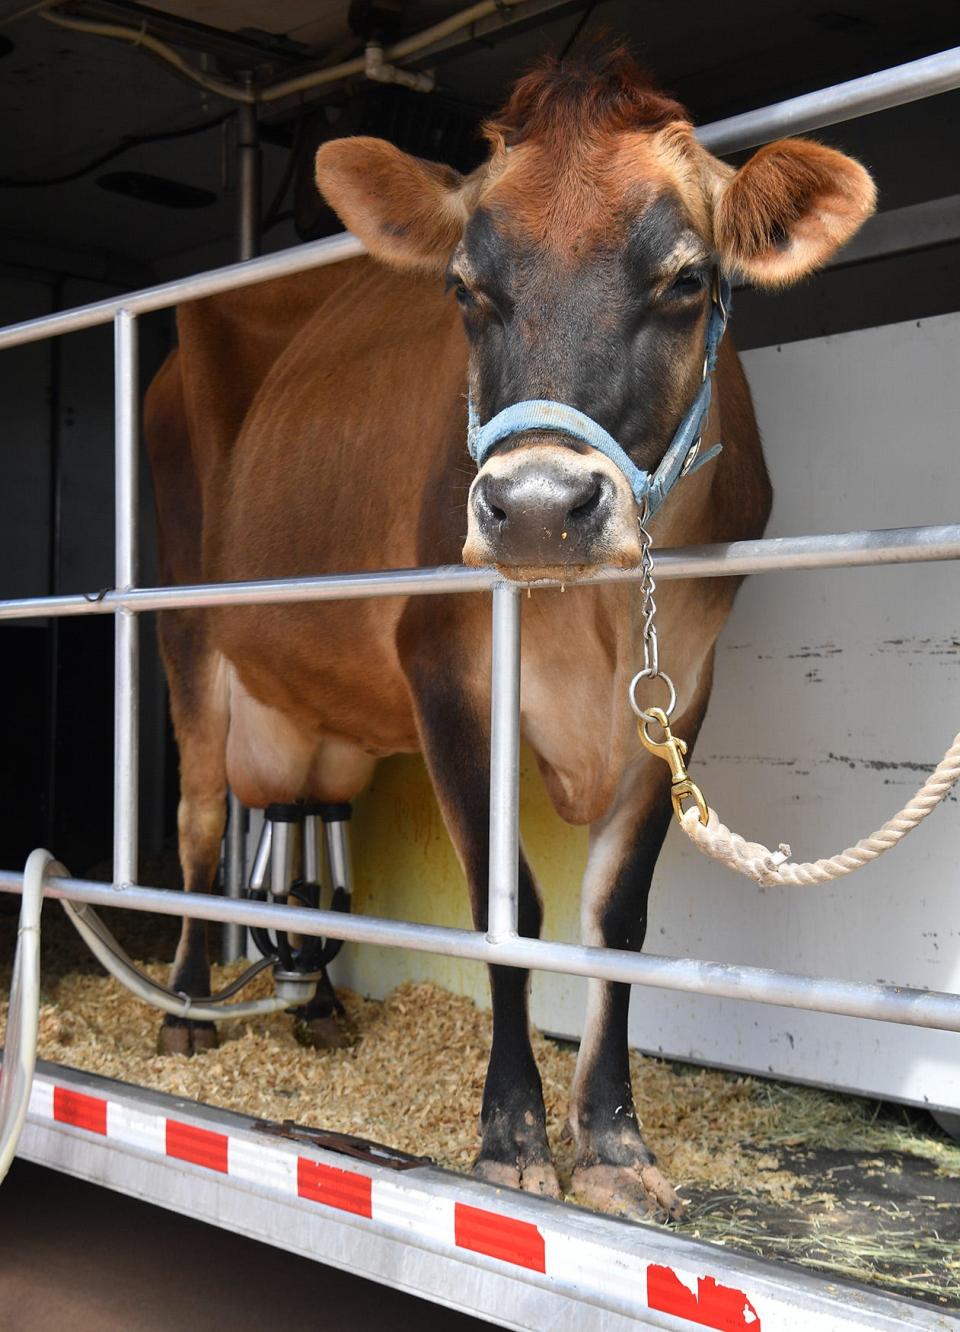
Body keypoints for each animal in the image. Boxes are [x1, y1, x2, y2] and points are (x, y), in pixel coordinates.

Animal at [145, 46, 873, 1220]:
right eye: (463, 288)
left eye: (686, 279)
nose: (535, 507)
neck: (601, 614)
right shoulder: (445, 667)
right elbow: (508, 905)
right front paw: (511, 1136)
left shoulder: (684, 689)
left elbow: (617, 917)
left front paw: (612, 1141)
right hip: (184, 628)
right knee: (202, 822)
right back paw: (180, 1010)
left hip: (322, 708)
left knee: (305, 812)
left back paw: (319, 1007)